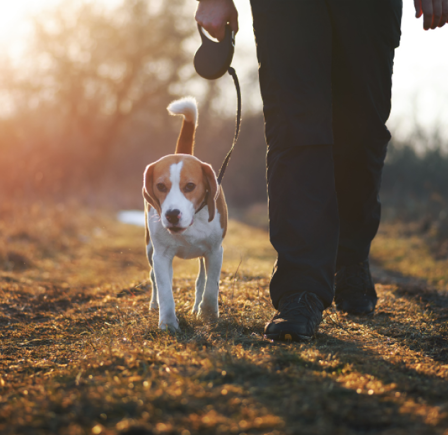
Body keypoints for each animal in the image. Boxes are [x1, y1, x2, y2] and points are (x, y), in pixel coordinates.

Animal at [143, 97, 228, 332]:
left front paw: (208, 315)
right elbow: (165, 290)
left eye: (190, 186)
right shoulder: (161, 256)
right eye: (161, 186)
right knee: (154, 278)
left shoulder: (215, 251)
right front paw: (168, 323)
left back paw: (197, 307)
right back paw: (154, 304)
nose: (172, 214)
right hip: (149, 248)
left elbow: (211, 287)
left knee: (201, 281)